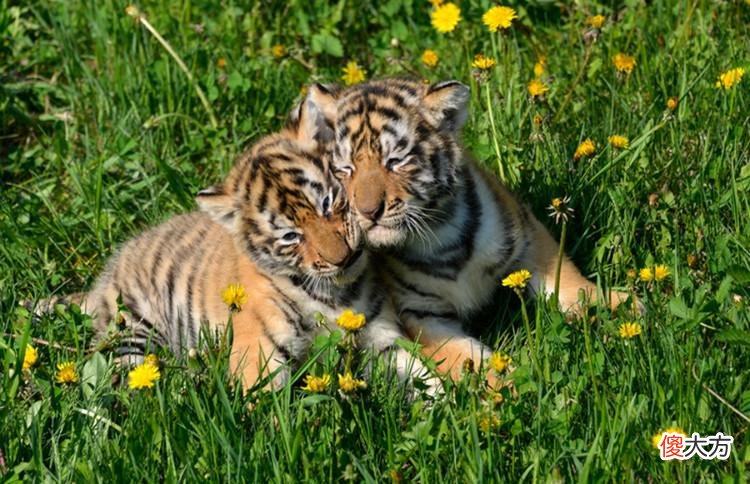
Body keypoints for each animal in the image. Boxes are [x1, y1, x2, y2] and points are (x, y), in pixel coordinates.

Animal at [26, 97, 439, 394]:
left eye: (327, 203)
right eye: (291, 236)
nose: (344, 258)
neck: (335, 294)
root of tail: (103, 280)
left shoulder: (381, 338)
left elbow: (424, 376)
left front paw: (454, 411)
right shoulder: (259, 352)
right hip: (132, 331)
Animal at [299, 78, 637, 384]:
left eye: (395, 161)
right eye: (345, 169)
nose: (368, 212)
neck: (440, 238)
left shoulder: (527, 232)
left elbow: (563, 275)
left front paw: (616, 306)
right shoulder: (421, 315)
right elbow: (466, 358)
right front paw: (510, 385)